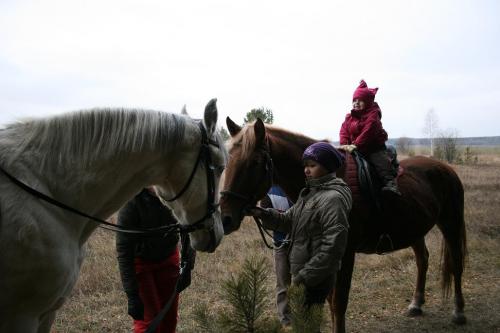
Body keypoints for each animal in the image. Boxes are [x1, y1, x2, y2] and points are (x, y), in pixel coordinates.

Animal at [221, 118, 466, 332]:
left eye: (254, 163)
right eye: (227, 161)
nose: (225, 218)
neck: (329, 179)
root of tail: (445, 167)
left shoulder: (344, 253)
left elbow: (338, 302)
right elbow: (328, 301)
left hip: (451, 223)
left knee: (456, 263)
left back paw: (458, 312)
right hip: (415, 229)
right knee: (423, 260)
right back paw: (416, 304)